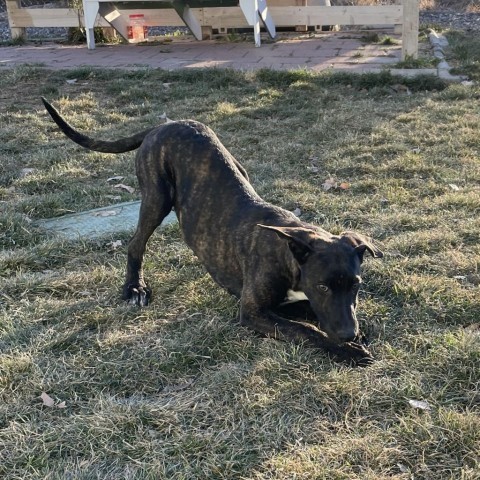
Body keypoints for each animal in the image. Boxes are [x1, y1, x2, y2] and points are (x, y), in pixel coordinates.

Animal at [43, 99, 384, 366]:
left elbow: (309, 312)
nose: (348, 333)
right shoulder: (253, 312)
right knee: (135, 243)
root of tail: (162, 125)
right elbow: (304, 329)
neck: (288, 253)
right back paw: (135, 287)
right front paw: (348, 350)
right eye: (323, 286)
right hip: (156, 197)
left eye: (356, 284)